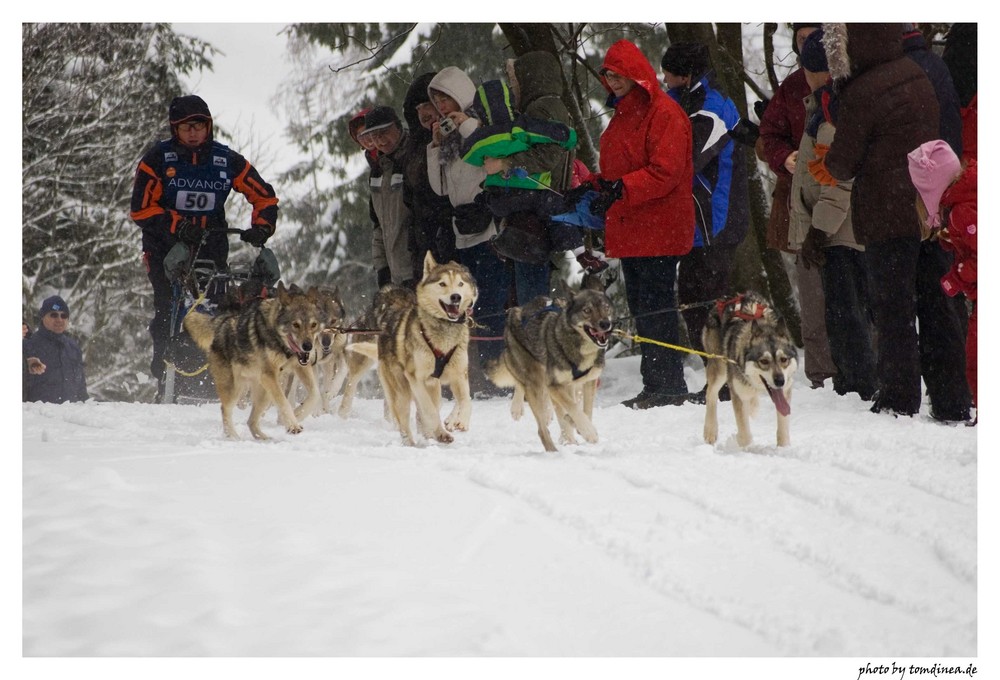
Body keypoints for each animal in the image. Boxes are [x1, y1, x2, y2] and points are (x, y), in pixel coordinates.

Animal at [185, 282, 328, 440]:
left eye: (313, 325)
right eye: (295, 325)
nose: (308, 346)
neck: (281, 344)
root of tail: (223, 322)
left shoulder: (301, 366)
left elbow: (315, 394)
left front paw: (298, 414)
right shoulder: (270, 375)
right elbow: (283, 402)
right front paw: (293, 425)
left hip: (263, 393)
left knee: (251, 420)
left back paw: (264, 438)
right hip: (236, 389)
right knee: (225, 409)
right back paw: (234, 437)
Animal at [372, 251, 476, 446]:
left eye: (460, 283)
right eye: (442, 283)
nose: (456, 297)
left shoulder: (459, 374)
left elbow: (466, 399)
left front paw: (461, 421)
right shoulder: (417, 378)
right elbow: (428, 409)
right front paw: (440, 431)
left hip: (434, 387)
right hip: (401, 392)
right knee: (406, 419)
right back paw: (413, 443)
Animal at [488, 286, 612, 452]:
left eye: (606, 308)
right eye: (587, 310)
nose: (605, 324)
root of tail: (517, 310)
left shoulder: (588, 381)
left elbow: (585, 410)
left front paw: (577, 425)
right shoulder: (555, 385)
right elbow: (573, 407)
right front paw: (588, 431)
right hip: (534, 379)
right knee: (540, 426)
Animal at [700, 290, 800, 446]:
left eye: (784, 359)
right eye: (764, 361)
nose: (780, 381)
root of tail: (724, 299)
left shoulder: (785, 391)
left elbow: (783, 429)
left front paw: (784, 448)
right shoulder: (738, 395)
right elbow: (745, 435)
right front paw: (746, 449)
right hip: (720, 369)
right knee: (711, 394)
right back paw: (710, 431)